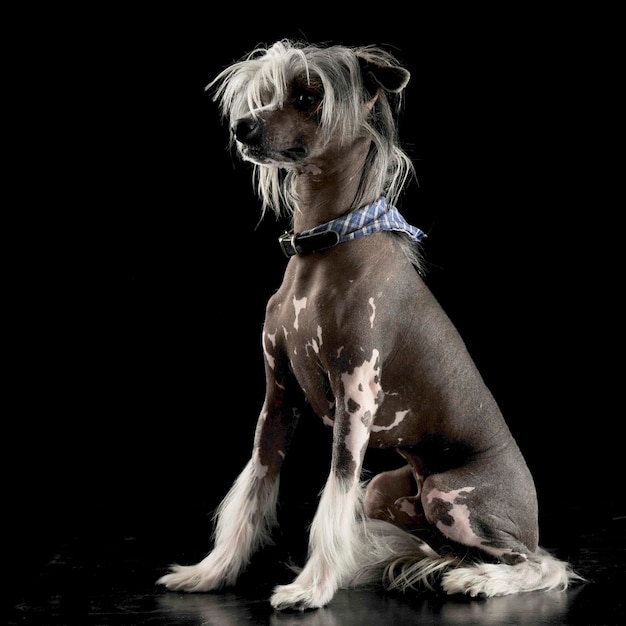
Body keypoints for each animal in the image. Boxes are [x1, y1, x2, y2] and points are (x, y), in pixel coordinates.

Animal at [157, 39, 580, 608]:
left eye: (309, 96)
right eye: (267, 93)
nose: (243, 126)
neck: (324, 248)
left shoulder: (356, 397)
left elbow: (333, 497)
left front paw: (311, 587)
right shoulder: (278, 395)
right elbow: (253, 489)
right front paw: (211, 572)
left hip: (450, 494)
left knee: (537, 564)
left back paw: (481, 580)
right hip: (389, 490)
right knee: (450, 547)